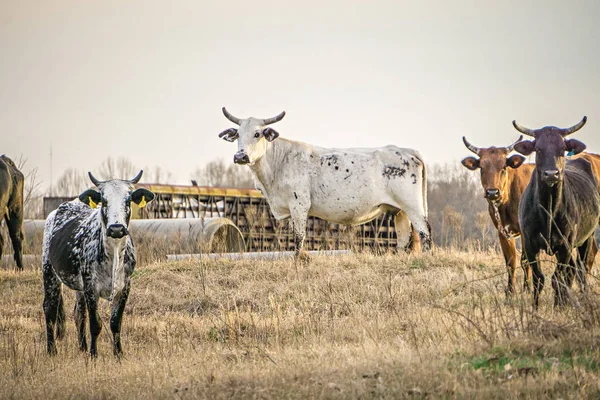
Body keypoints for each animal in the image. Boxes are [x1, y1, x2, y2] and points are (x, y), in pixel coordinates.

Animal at [41, 171, 155, 356]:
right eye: (104, 200)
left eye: (128, 200)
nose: (116, 228)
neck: (114, 254)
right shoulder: (90, 287)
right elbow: (95, 324)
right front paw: (94, 354)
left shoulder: (125, 287)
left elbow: (115, 322)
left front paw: (118, 354)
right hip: (49, 272)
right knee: (49, 309)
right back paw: (52, 350)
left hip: (78, 288)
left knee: (79, 313)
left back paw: (82, 347)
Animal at [219, 107, 432, 256]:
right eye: (238, 135)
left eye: (257, 134)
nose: (240, 156)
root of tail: (404, 150)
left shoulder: (299, 204)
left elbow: (299, 237)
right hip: (399, 210)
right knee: (403, 237)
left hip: (412, 206)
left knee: (424, 231)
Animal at [460, 136, 536, 296]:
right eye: (481, 167)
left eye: (503, 167)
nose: (492, 192)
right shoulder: (502, 232)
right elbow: (510, 262)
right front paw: (511, 292)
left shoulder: (526, 232)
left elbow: (526, 260)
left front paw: (527, 290)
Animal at [510, 117, 600, 308]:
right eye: (538, 148)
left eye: (562, 148)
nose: (551, 174)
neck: (548, 210)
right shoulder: (530, 244)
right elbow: (538, 278)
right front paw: (535, 308)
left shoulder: (565, 245)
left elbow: (557, 279)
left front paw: (558, 307)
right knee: (572, 270)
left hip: (586, 239)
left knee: (581, 269)